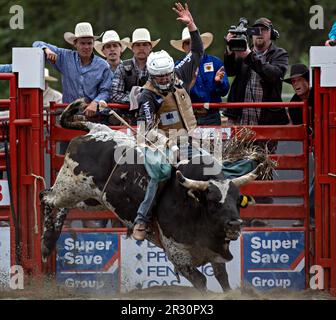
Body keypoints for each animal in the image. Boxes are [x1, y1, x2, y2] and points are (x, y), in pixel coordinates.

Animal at [40, 100, 262, 292]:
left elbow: (222, 279)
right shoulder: (178, 257)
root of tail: (95, 129)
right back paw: (46, 244)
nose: (235, 224)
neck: (193, 207)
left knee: (63, 206)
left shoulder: (216, 255)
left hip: (90, 198)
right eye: (214, 202)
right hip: (69, 186)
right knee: (46, 197)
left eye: (237, 201)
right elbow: (201, 281)